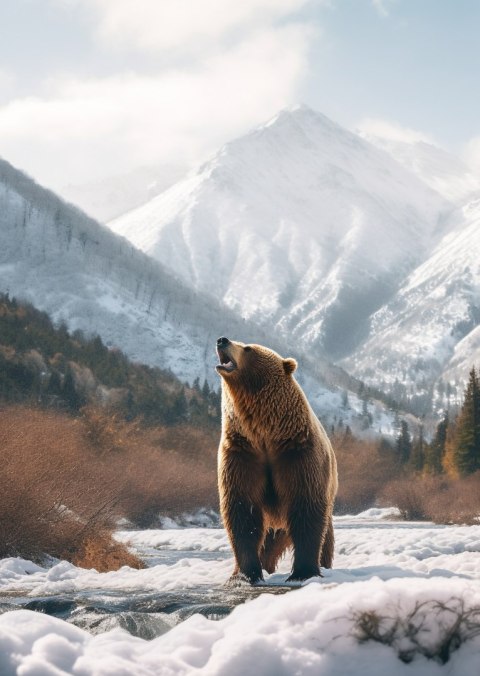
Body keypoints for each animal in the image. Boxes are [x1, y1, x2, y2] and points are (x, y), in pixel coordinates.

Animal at [215, 336, 338, 584]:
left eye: (247, 348)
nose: (222, 340)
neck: (266, 435)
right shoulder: (243, 454)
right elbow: (241, 510)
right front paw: (245, 574)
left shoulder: (297, 454)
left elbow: (306, 509)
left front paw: (303, 572)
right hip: (274, 522)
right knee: (268, 540)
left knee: (325, 537)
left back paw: (323, 564)